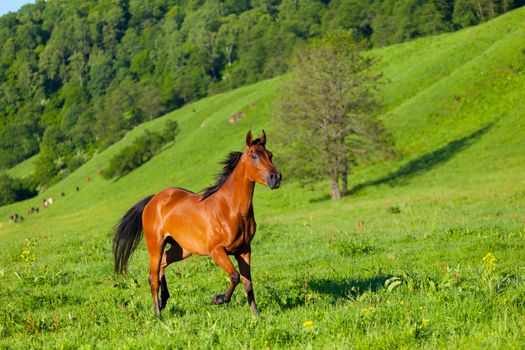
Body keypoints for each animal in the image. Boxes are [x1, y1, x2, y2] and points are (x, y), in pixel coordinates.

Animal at [112, 130, 280, 318]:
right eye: (254, 156)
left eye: (270, 155)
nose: (275, 178)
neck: (230, 209)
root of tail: (153, 200)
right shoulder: (216, 251)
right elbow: (235, 276)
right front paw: (218, 299)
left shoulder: (244, 250)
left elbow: (248, 283)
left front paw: (256, 316)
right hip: (155, 245)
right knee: (153, 277)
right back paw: (159, 315)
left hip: (182, 249)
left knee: (163, 264)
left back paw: (164, 300)